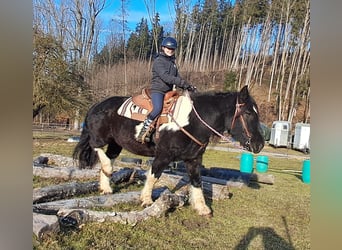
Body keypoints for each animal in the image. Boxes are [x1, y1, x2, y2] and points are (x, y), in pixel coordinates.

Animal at [72, 85, 264, 215]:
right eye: (248, 113)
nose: (260, 144)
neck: (193, 121)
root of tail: (96, 105)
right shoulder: (163, 155)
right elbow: (153, 176)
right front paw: (146, 200)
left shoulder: (194, 159)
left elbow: (197, 181)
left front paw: (202, 208)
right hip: (100, 137)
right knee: (96, 147)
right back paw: (107, 169)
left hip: (115, 144)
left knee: (108, 156)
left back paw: (106, 187)